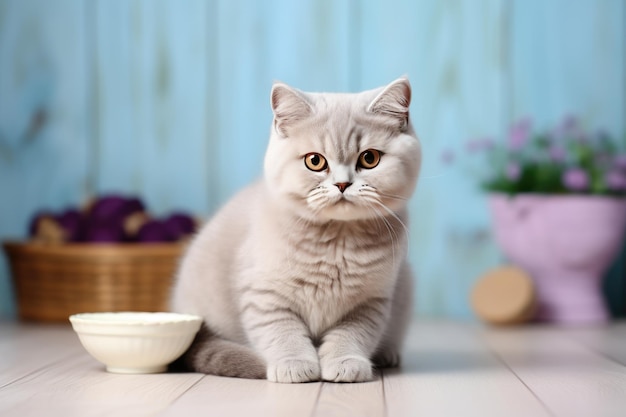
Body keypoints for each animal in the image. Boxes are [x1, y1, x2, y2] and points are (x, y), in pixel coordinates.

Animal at [169, 76, 420, 382]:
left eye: (369, 158)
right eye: (315, 161)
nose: (342, 184)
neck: (338, 240)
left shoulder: (370, 302)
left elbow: (351, 335)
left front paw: (345, 362)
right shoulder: (265, 296)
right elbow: (282, 333)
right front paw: (294, 365)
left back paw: (387, 355)